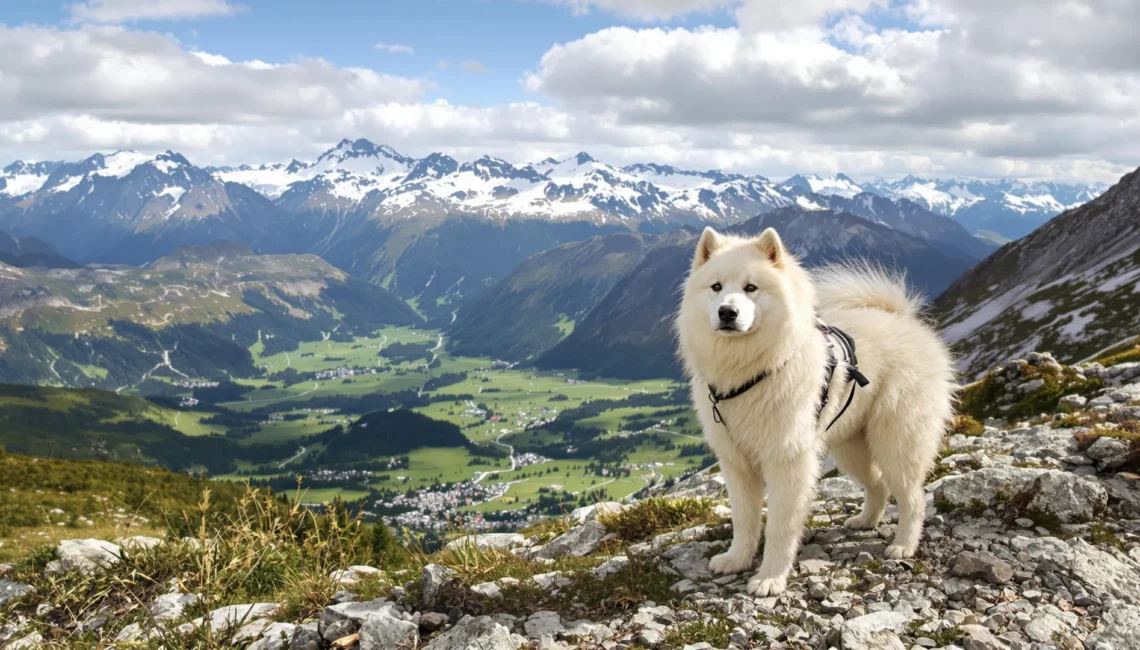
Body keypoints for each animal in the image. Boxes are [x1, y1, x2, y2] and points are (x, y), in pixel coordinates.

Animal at [674, 224, 953, 592]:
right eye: (716, 287)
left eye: (751, 288)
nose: (727, 313)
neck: (750, 371)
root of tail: (905, 321)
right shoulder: (737, 464)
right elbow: (745, 520)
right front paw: (737, 560)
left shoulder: (787, 461)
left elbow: (779, 527)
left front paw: (770, 578)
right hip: (849, 446)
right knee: (877, 485)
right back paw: (865, 521)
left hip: (896, 442)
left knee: (912, 497)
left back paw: (904, 544)